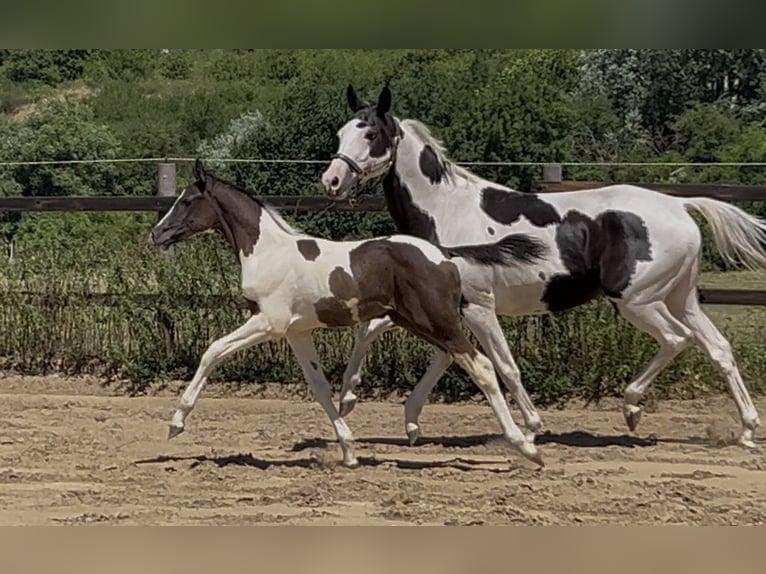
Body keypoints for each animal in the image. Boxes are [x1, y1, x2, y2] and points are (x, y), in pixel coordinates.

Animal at [150, 159, 548, 467]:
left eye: (187, 201)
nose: (156, 234)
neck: (267, 252)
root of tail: (445, 254)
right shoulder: (297, 332)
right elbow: (320, 388)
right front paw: (349, 450)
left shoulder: (269, 323)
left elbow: (213, 350)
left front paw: (176, 422)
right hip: (419, 321)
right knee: (460, 358)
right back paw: (417, 427)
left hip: (436, 320)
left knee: (482, 366)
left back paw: (526, 447)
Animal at [320, 83, 766, 449]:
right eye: (341, 133)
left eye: (370, 134)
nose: (332, 180)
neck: (447, 211)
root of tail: (681, 205)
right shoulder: (435, 305)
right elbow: (392, 337)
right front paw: (367, 405)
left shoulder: (477, 306)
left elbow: (501, 365)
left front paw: (532, 427)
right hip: (680, 298)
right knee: (718, 348)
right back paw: (745, 430)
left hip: (637, 301)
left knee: (676, 340)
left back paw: (632, 408)